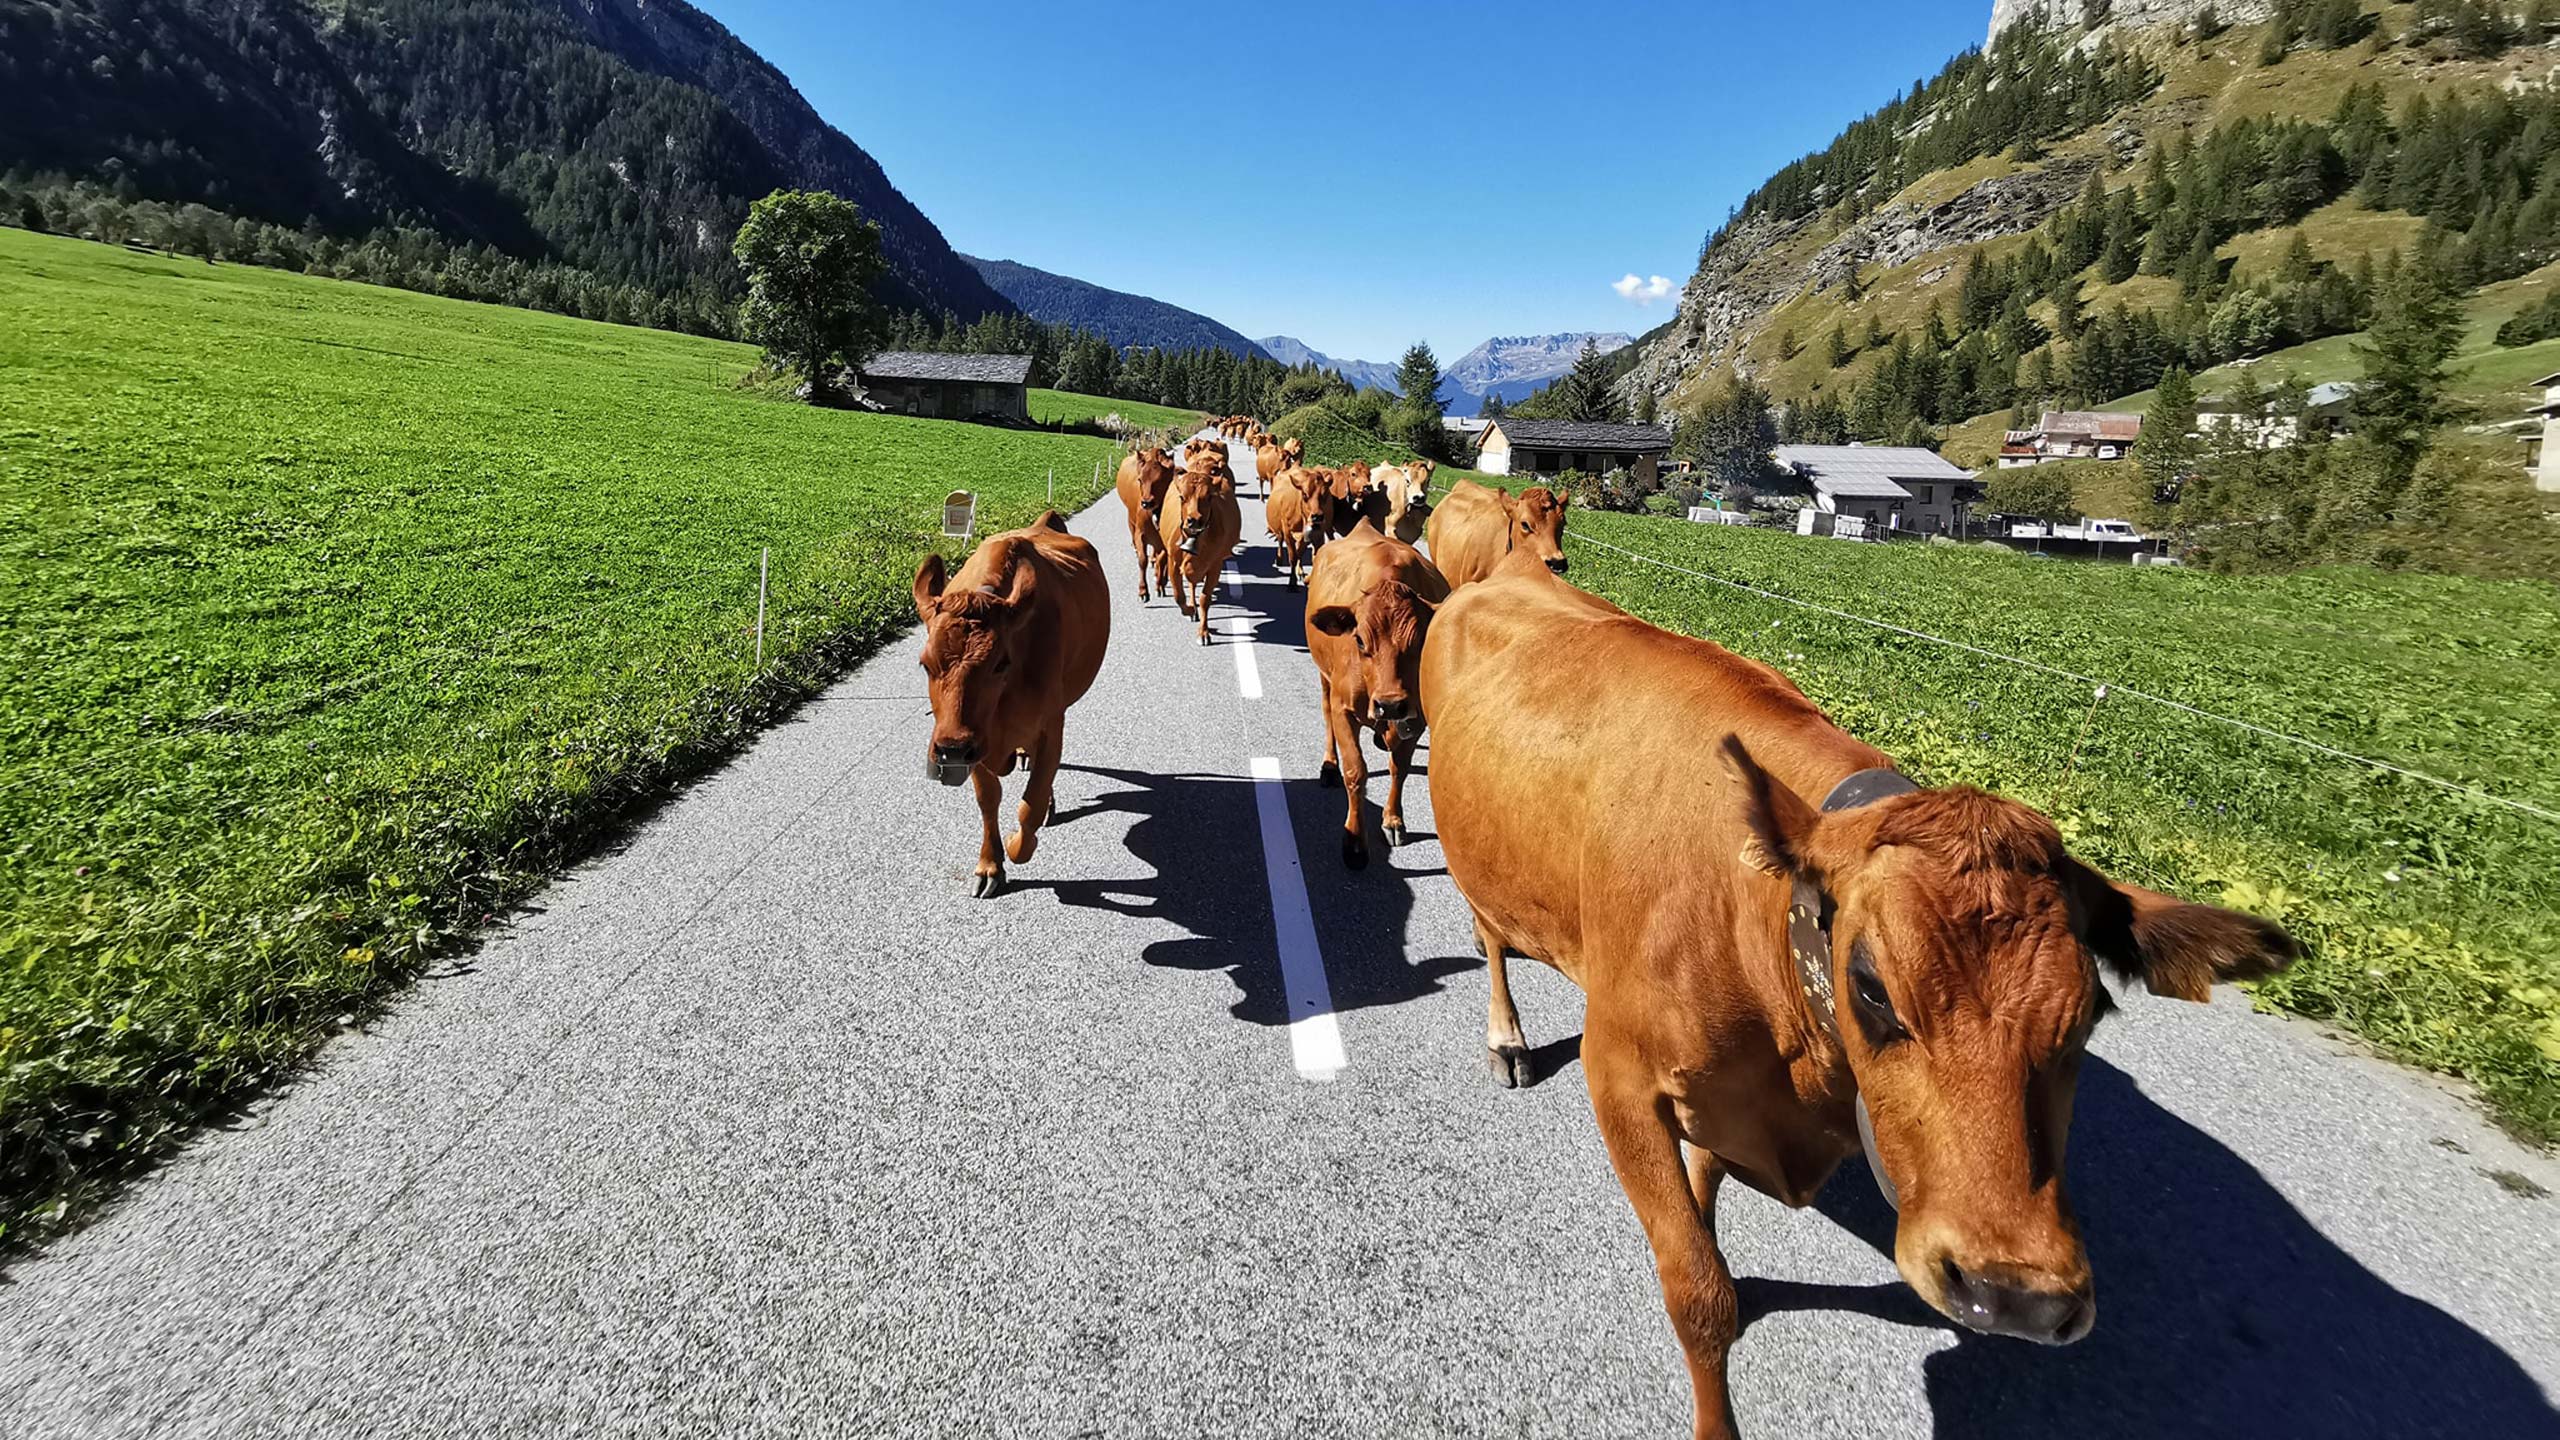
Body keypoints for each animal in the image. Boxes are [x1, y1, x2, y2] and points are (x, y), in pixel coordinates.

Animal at [916, 509, 1105, 896]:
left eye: (1001, 664)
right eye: (925, 663)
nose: (950, 750)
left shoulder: (1050, 725)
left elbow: (1030, 805)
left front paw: (1017, 845)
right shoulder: (977, 740)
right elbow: (988, 798)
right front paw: (990, 864)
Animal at [1111, 450, 1172, 602]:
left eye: (1161, 479)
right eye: (1140, 479)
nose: (1146, 502)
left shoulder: (1163, 541)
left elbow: (1162, 560)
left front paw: (1159, 586)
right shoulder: (1140, 534)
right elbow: (1142, 560)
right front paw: (1143, 591)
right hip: (1130, 519)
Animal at [1423, 550, 2304, 1434]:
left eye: (2090, 1014)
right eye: (1873, 987)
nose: (2015, 1294)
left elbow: (1703, 1207)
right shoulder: (1620, 1077)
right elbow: (1699, 1293)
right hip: (1480, 866)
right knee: (1491, 935)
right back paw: (1507, 1036)